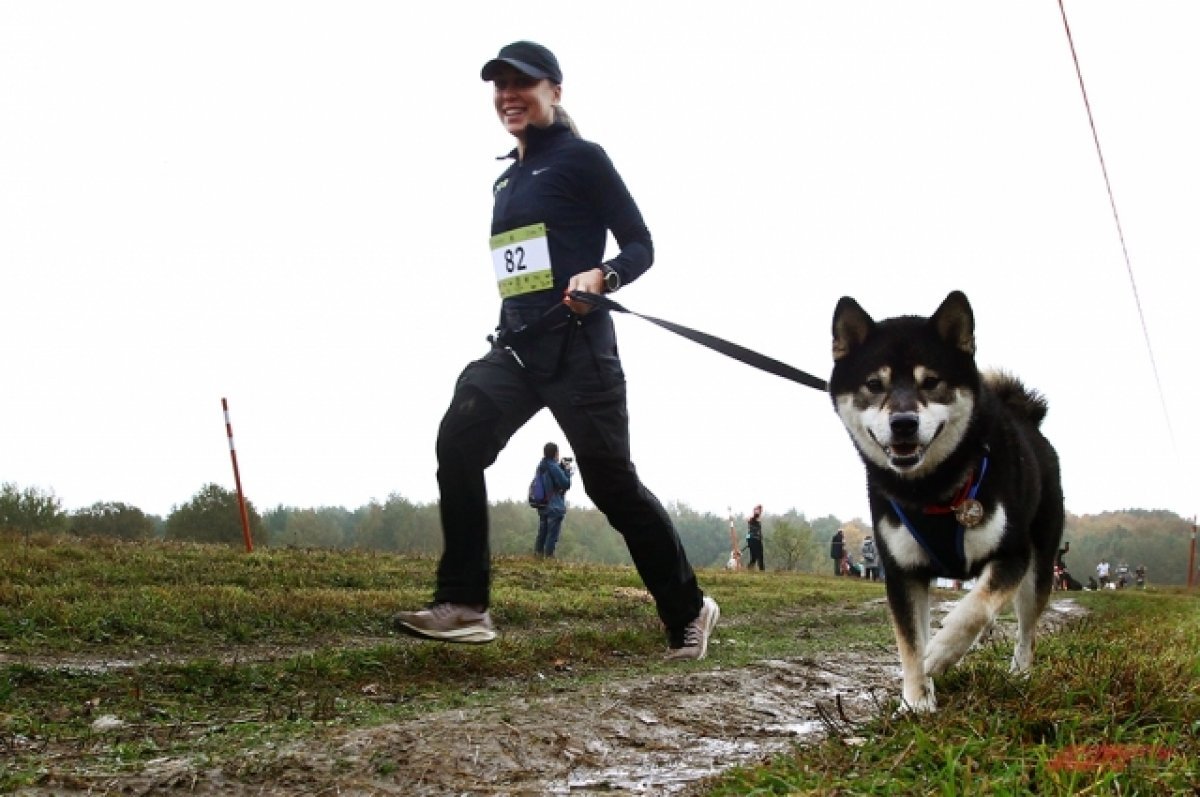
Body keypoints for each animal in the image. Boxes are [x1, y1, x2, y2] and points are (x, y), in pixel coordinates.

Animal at [830, 289, 1065, 710]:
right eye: (873, 383)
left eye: (931, 381)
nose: (903, 423)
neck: (929, 488)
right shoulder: (904, 571)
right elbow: (910, 643)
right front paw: (916, 703)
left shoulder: (1012, 553)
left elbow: (975, 609)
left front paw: (941, 652)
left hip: (1039, 563)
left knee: (1027, 628)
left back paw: (1020, 673)